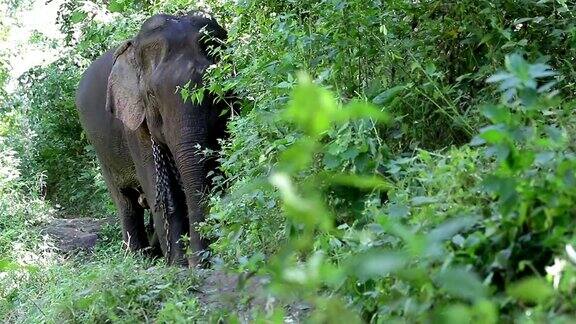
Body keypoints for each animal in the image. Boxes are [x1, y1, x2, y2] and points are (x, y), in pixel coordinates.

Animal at [75, 12, 231, 266]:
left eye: (216, 87)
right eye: (151, 95)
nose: (199, 262)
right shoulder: (133, 122)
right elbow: (159, 186)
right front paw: (177, 264)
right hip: (101, 150)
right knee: (125, 202)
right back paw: (138, 256)